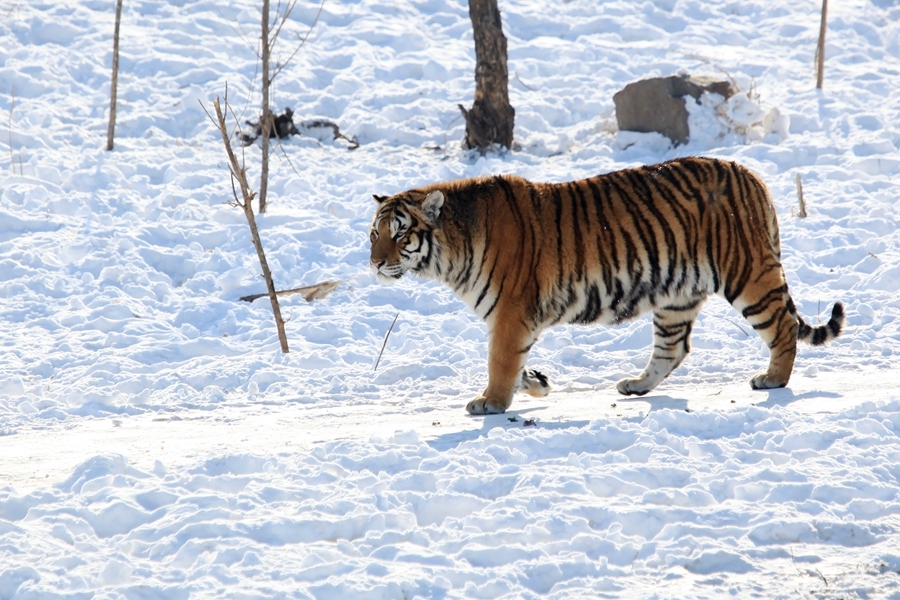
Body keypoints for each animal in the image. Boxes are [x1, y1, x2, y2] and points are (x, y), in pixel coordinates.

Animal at [366, 157, 844, 414]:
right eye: (375, 233)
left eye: (401, 234)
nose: (374, 263)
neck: (452, 252)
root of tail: (752, 176)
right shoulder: (513, 319)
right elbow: (515, 364)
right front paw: (536, 383)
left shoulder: (510, 313)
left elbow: (499, 362)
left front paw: (491, 402)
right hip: (677, 295)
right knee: (673, 348)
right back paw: (636, 385)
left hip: (747, 275)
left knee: (783, 327)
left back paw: (773, 379)